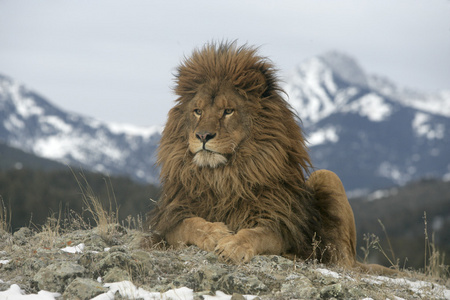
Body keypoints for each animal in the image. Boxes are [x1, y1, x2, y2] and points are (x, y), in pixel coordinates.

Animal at [146, 41, 396, 274]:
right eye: (198, 111)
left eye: (228, 111)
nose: (202, 135)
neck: (223, 177)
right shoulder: (170, 221)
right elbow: (190, 224)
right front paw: (214, 232)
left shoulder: (281, 224)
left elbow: (256, 234)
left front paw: (234, 245)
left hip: (327, 178)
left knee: (341, 263)